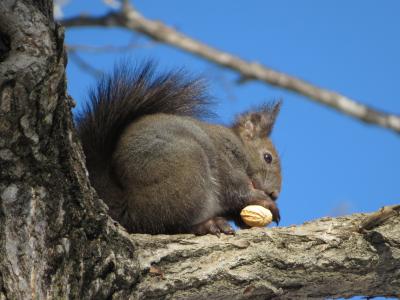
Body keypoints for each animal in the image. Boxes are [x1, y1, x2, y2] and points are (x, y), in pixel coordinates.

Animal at [76, 62, 282, 236]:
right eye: (267, 157)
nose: (275, 194)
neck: (239, 145)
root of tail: (127, 204)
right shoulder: (226, 161)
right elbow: (236, 190)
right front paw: (265, 201)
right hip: (188, 173)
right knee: (167, 223)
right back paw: (207, 225)